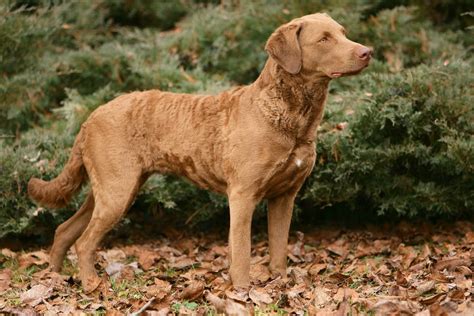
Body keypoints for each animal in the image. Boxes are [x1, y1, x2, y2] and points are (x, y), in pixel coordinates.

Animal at [27, 13, 372, 292]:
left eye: (343, 32)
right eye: (324, 39)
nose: (367, 52)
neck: (289, 118)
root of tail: (90, 117)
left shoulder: (284, 196)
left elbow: (279, 248)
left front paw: (280, 283)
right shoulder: (243, 195)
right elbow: (242, 250)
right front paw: (243, 291)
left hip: (111, 189)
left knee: (64, 230)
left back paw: (53, 278)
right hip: (117, 191)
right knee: (84, 242)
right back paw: (90, 284)